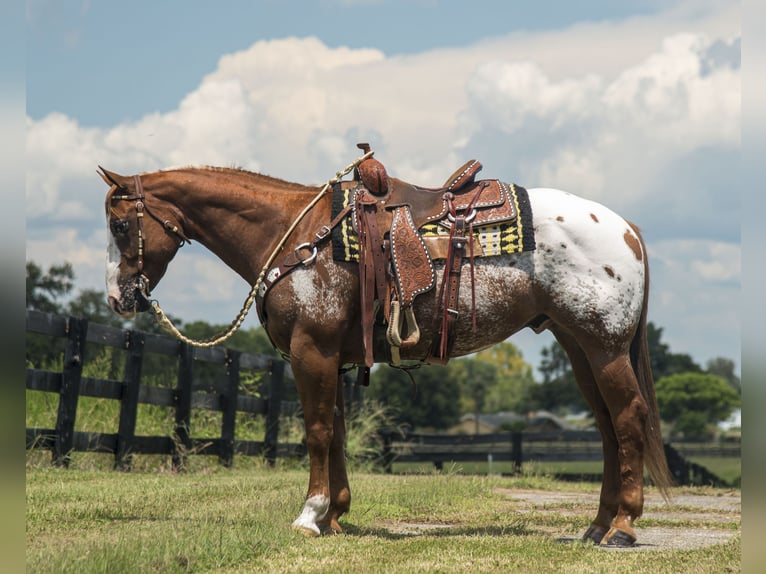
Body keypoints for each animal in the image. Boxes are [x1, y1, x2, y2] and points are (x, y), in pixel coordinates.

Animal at [100, 154, 672, 548]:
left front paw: (309, 515)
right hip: (579, 349)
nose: (117, 298)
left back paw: (622, 526)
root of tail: (626, 229)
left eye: (121, 225)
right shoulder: (330, 357)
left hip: (604, 347)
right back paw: (597, 525)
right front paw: (334, 515)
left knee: (627, 419)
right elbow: (335, 430)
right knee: (606, 428)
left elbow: (316, 431)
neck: (297, 237)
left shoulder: (312, 350)